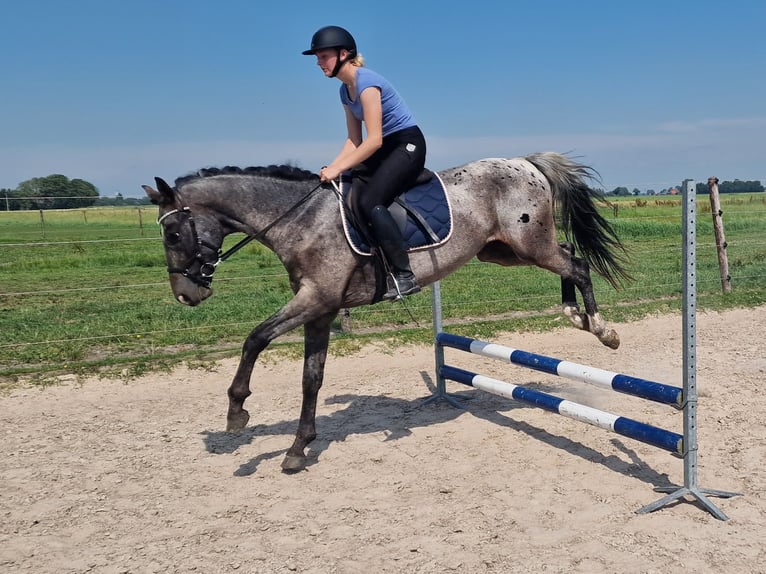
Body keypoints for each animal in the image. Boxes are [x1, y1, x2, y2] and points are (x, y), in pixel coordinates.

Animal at [142, 152, 632, 472]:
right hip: (503, 251)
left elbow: (255, 338)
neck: (299, 220)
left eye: (172, 234)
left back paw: (600, 327)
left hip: (527, 244)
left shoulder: (314, 300)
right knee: (569, 253)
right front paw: (298, 449)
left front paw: (237, 411)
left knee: (577, 263)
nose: (186, 295)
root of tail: (525, 162)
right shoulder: (321, 310)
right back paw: (574, 313)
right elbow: (311, 378)